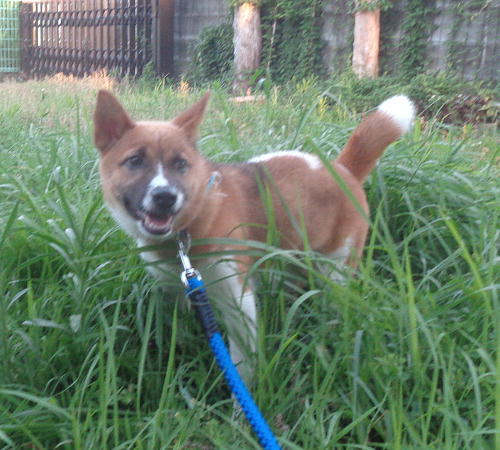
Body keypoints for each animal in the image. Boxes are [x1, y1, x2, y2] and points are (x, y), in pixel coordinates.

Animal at [94, 91, 415, 382]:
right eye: (135, 161)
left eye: (181, 164)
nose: (165, 197)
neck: (192, 224)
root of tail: (342, 169)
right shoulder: (173, 291)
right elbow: (179, 329)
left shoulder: (239, 300)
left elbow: (241, 364)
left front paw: (239, 406)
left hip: (337, 269)